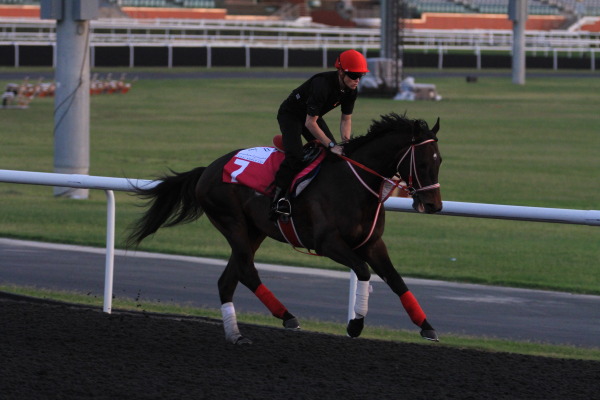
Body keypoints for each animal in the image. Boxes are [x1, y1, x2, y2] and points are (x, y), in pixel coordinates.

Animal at [126, 112, 442, 344]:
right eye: (423, 162)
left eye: (440, 161)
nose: (434, 204)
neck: (353, 184)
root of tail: (207, 170)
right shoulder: (327, 243)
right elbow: (363, 272)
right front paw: (355, 325)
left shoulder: (372, 243)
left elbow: (396, 280)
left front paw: (426, 326)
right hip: (232, 223)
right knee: (247, 271)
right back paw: (287, 316)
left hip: (254, 231)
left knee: (228, 279)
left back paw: (236, 335)